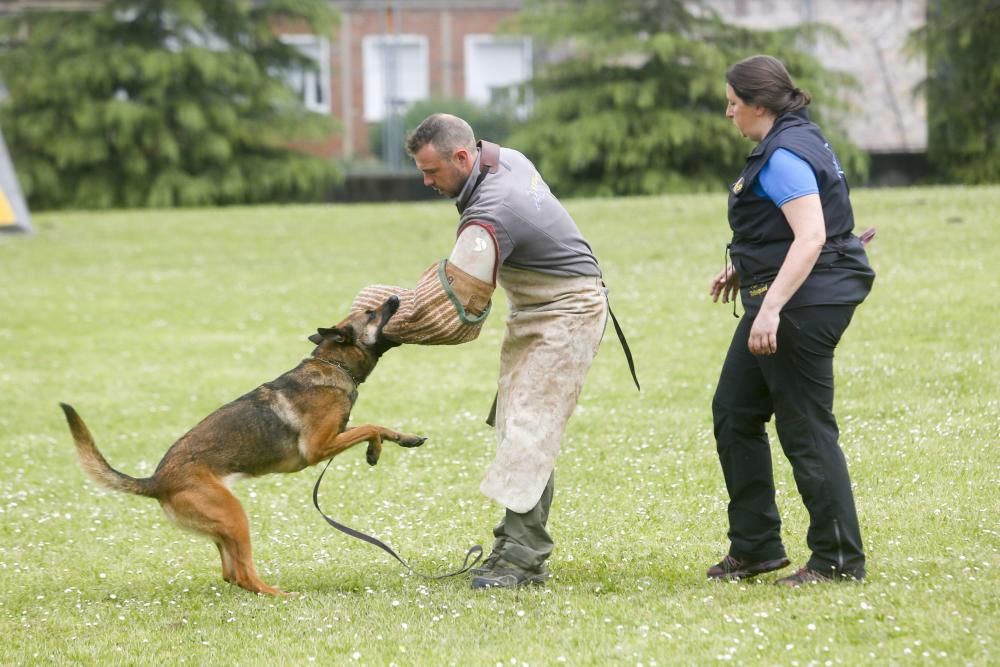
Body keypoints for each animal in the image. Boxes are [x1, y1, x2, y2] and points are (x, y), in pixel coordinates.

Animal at [61, 298, 422, 596]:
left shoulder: (337, 434)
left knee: (231, 574)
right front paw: (380, 445)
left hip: (225, 522)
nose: (395, 297)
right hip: (236, 516)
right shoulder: (317, 448)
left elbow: (373, 428)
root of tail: (156, 481)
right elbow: (369, 425)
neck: (335, 364)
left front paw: (389, 444)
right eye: (371, 313)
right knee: (245, 574)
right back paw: (280, 594)